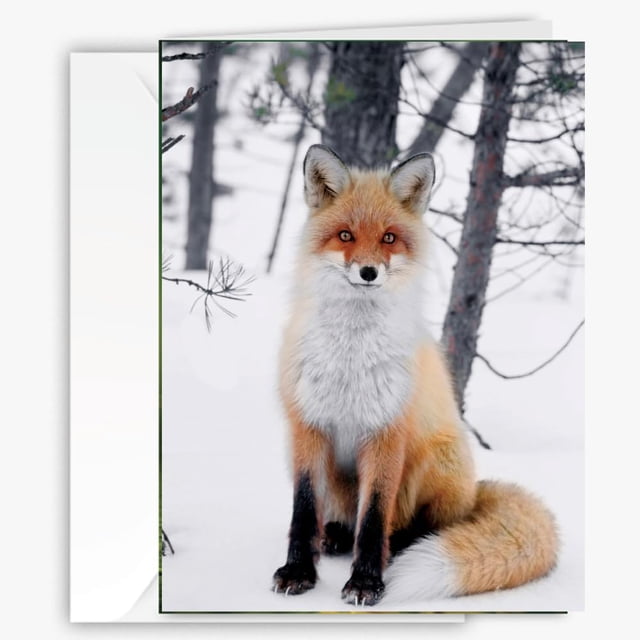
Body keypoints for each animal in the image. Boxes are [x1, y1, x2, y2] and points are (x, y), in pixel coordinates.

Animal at [272, 144, 558, 606]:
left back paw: (405, 545)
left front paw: (366, 582)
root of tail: (476, 492)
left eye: (388, 237)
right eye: (346, 236)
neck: (351, 357)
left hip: (438, 458)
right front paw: (298, 571)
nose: (368, 272)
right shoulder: (306, 425)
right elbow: (302, 512)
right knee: (342, 521)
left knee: (422, 525)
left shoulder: (387, 431)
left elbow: (374, 518)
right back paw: (335, 535)